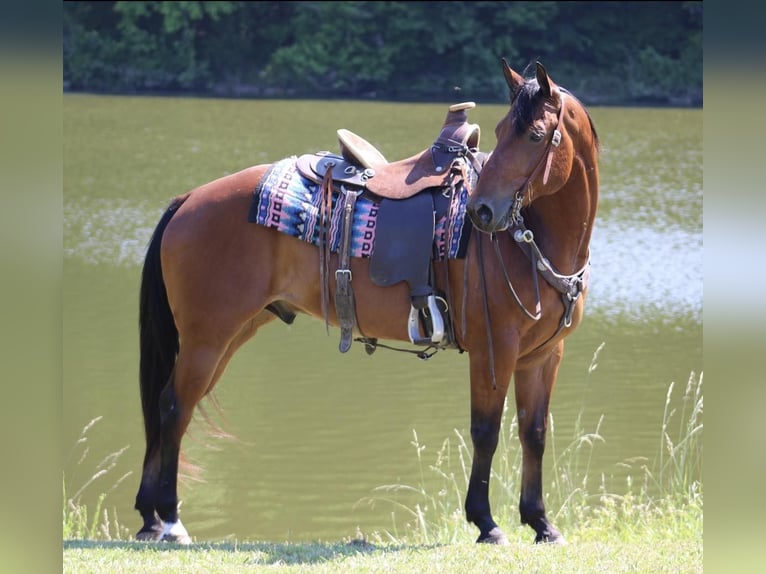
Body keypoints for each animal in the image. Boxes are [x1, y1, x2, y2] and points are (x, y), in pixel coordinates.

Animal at [133, 60, 599, 546]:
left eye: (534, 135)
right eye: (501, 129)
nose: (482, 211)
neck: (532, 241)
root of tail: (189, 199)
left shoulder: (542, 355)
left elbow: (534, 432)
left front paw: (541, 522)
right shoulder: (495, 349)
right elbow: (486, 431)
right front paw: (486, 522)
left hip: (227, 335)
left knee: (171, 406)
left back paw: (151, 517)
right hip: (208, 338)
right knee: (173, 408)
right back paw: (170, 519)